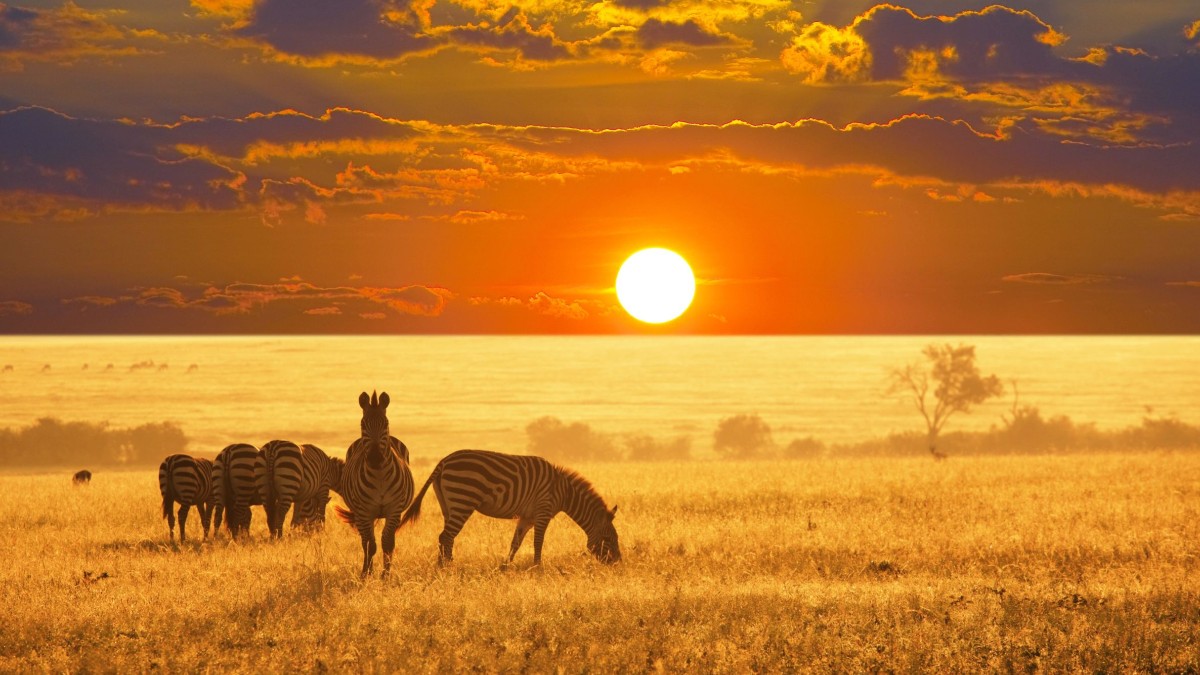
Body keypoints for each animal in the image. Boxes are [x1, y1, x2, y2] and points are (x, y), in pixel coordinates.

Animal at [336, 391, 415, 576]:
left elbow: (387, 542)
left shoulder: (394, 509)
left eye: (385, 424)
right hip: (361, 514)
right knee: (365, 541)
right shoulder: (365, 511)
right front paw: (367, 573)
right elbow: (371, 545)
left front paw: (386, 575)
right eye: (363, 424)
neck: (379, 475)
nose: (375, 458)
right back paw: (366, 569)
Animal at [405, 449, 628, 564]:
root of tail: (443, 461)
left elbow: (516, 542)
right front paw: (538, 568)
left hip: (448, 505)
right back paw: (447, 568)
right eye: (609, 539)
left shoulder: (527, 517)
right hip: (463, 499)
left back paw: (443, 566)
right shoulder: (543, 511)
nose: (618, 563)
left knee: (446, 537)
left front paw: (506, 567)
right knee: (446, 536)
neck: (564, 491)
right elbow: (538, 543)